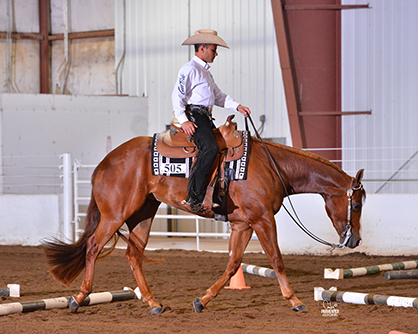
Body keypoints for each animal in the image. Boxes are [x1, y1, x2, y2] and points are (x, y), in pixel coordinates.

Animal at [42, 118, 364, 314]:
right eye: (358, 204)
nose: (355, 240)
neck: (272, 166)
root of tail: (104, 163)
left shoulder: (242, 224)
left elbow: (233, 264)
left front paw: (203, 300)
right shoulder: (262, 220)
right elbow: (276, 259)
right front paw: (295, 300)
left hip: (143, 214)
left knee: (133, 255)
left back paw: (153, 302)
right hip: (115, 214)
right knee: (93, 247)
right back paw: (79, 298)